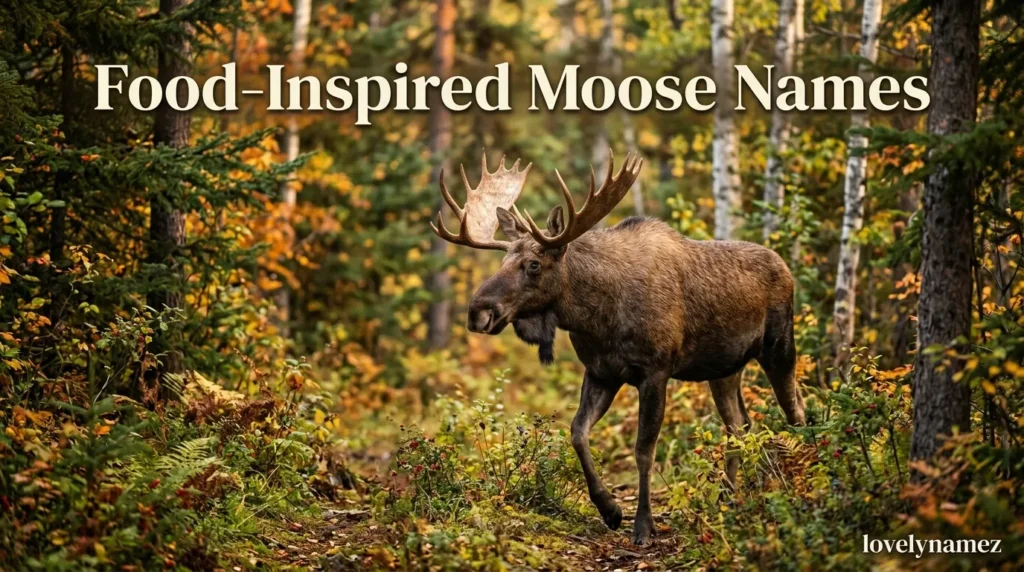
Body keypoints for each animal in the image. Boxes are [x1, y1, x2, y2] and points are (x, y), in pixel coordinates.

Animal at [430, 150, 806, 546]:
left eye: (533, 264)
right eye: (502, 261)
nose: (478, 311)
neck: (595, 317)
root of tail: (786, 267)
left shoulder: (655, 371)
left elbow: (643, 450)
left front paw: (643, 526)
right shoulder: (601, 371)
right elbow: (578, 431)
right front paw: (610, 510)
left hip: (779, 346)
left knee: (796, 410)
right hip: (724, 369)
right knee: (740, 425)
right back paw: (727, 499)